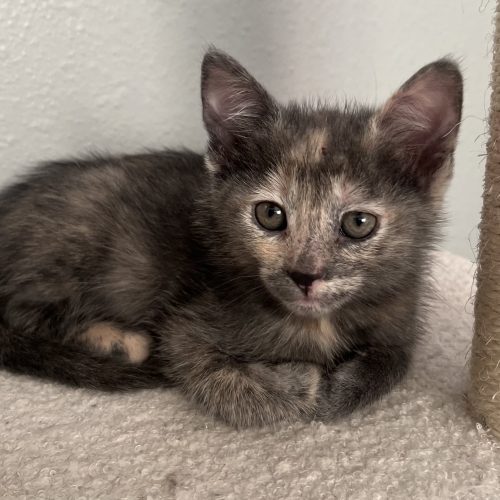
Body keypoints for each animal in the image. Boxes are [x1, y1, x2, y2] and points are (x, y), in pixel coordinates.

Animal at [0, 48, 462, 428]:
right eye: (270, 215)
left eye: (358, 223)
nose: (305, 276)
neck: (317, 324)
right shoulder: (185, 329)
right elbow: (210, 376)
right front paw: (302, 385)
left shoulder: (401, 318)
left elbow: (396, 361)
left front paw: (344, 387)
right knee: (19, 312)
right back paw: (116, 341)